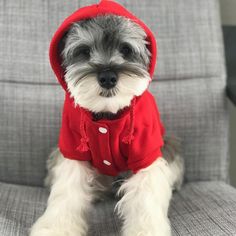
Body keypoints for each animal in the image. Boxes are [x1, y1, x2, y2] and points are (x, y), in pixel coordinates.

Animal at [29, 2, 184, 236]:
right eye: (84, 52)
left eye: (126, 50)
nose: (108, 77)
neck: (108, 116)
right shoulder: (72, 150)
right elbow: (66, 193)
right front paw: (56, 228)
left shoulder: (146, 152)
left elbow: (145, 198)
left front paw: (145, 229)